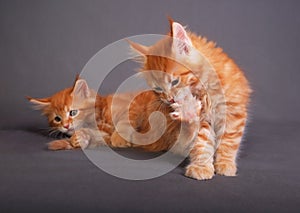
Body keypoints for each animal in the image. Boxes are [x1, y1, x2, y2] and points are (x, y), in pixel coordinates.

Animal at [128, 18, 251, 180]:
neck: (204, 91)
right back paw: (188, 115)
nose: (169, 99)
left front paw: (225, 164)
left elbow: (228, 142)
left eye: (174, 82)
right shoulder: (203, 121)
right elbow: (202, 144)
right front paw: (201, 167)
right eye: (158, 88)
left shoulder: (233, 113)